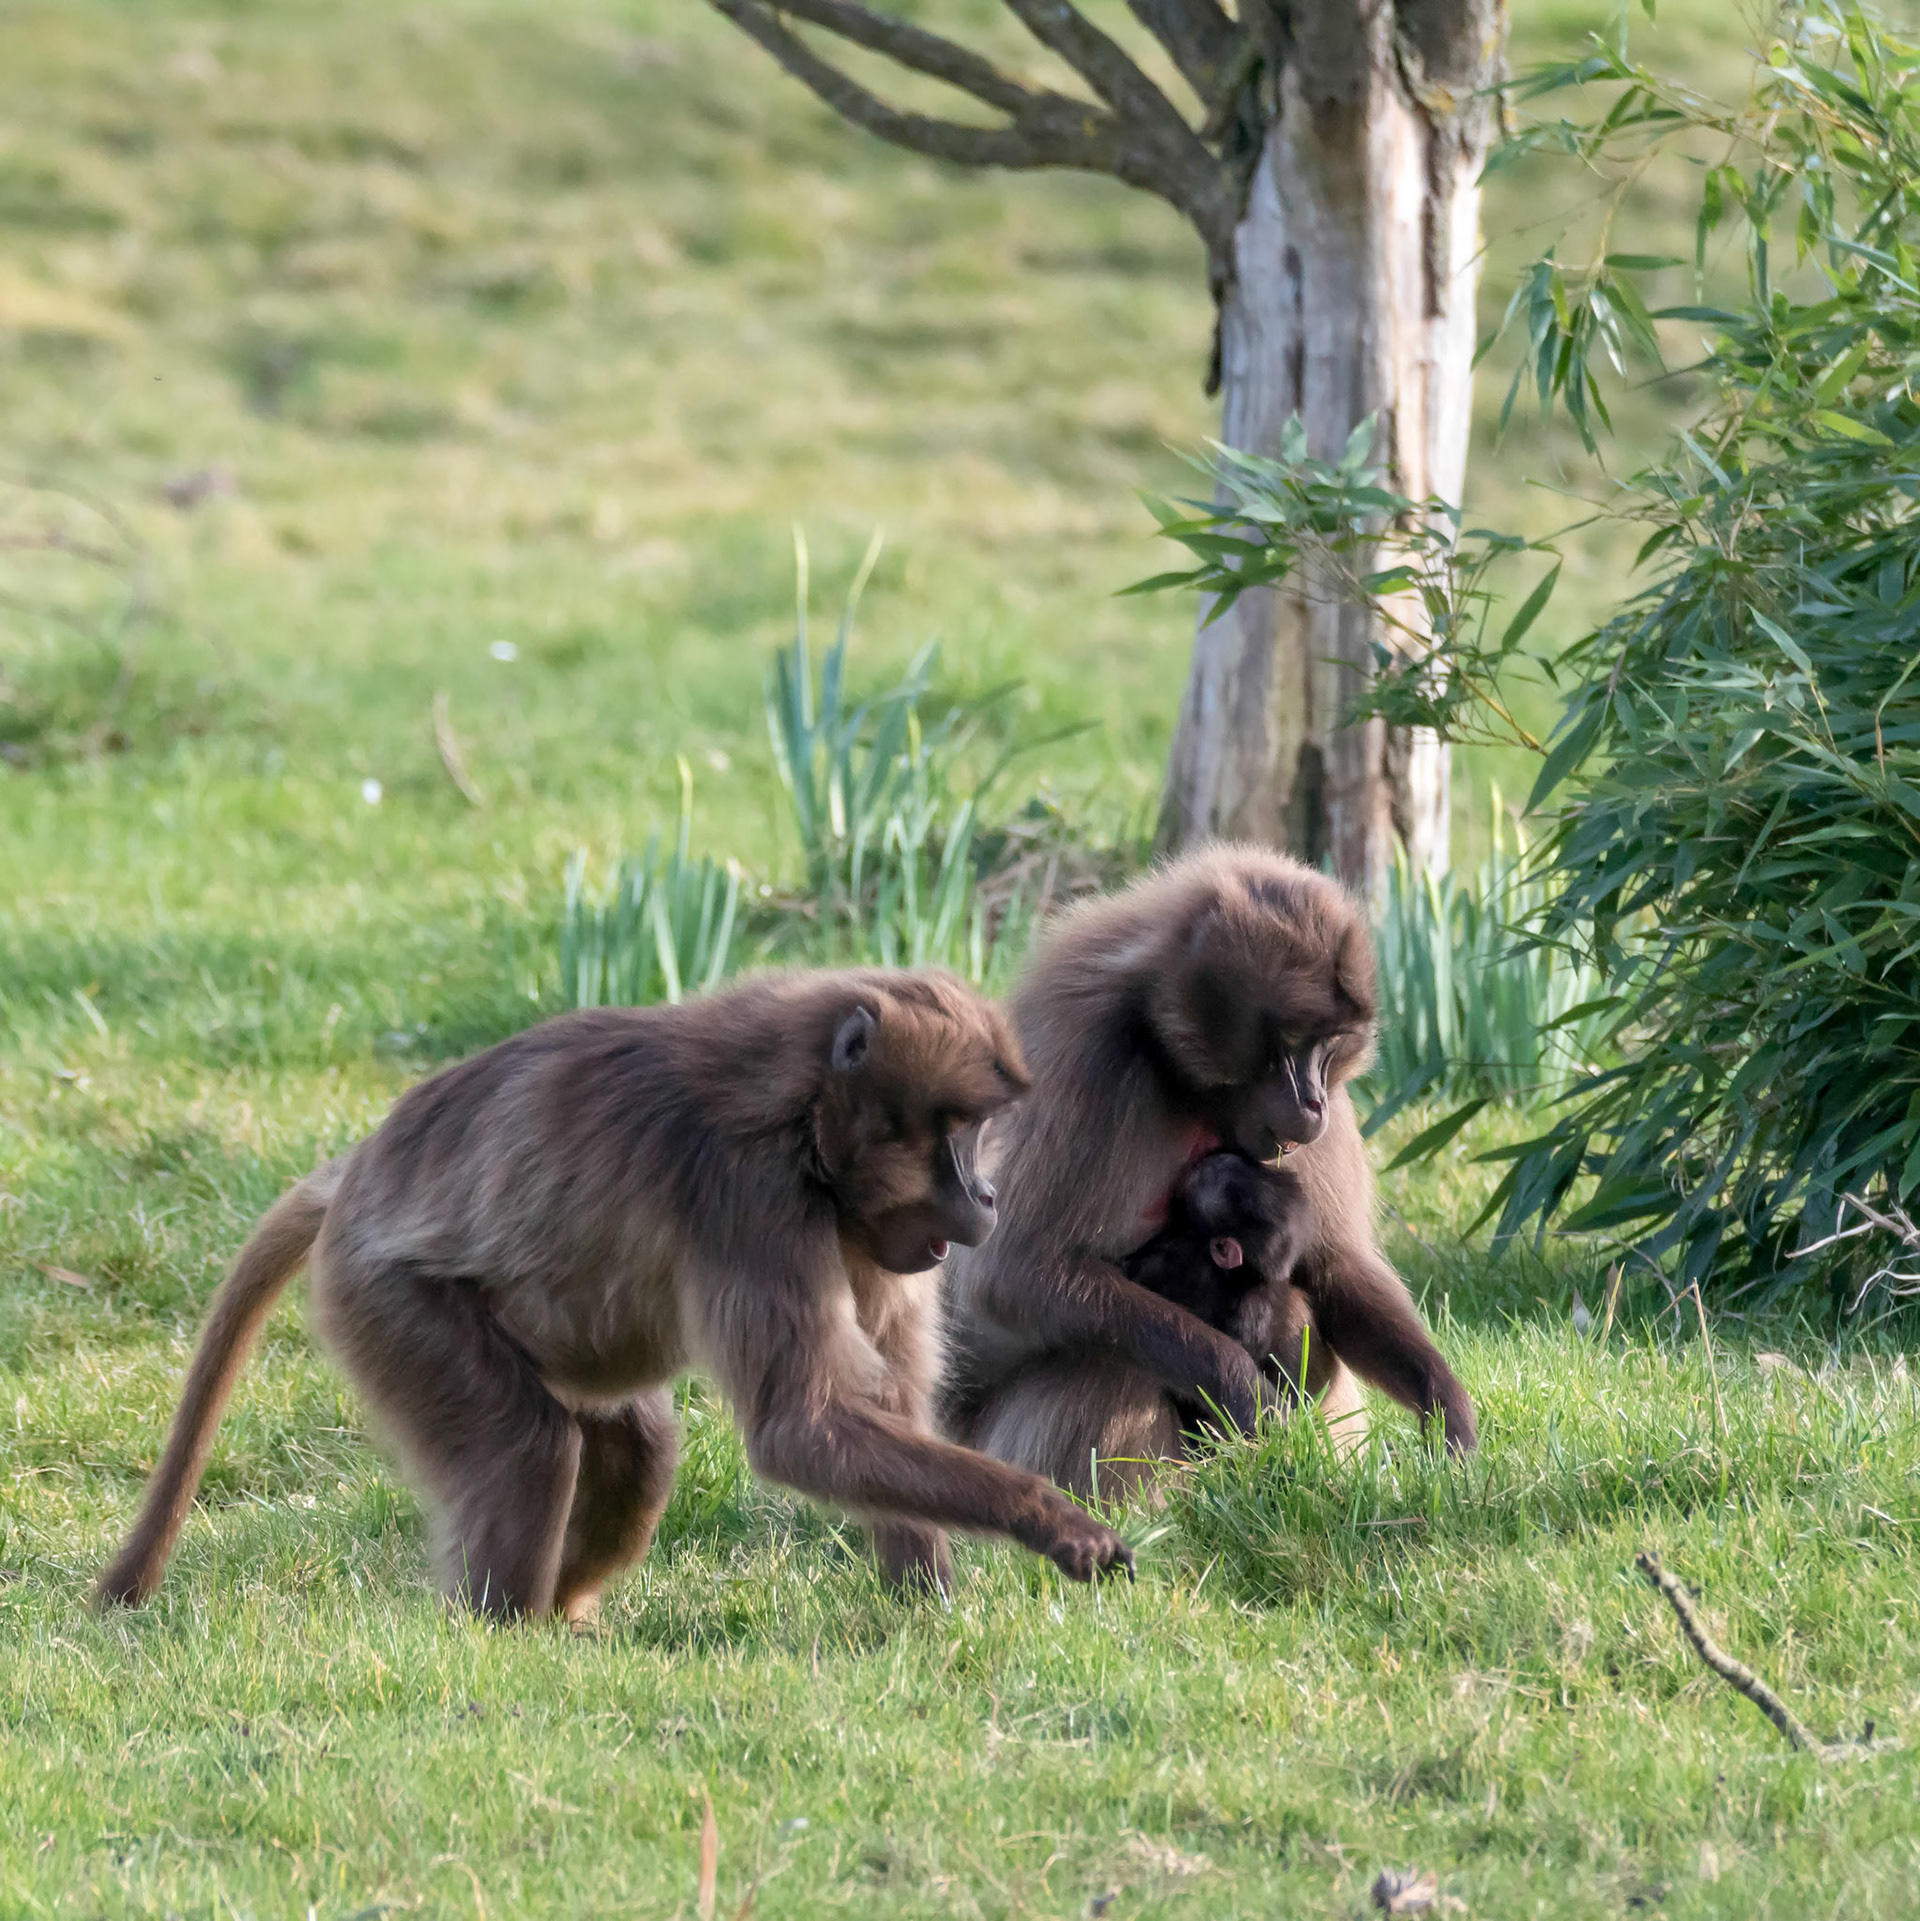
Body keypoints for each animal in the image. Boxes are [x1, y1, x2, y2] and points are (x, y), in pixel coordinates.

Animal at [96, 967, 1134, 1620]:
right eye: (955, 1131)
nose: (988, 1196)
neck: (801, 1111)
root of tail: (359, 1171)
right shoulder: (751, 1199)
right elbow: (803, 1428)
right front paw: (1051, 1520)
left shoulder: (873, 1234)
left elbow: (881, 1406)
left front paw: (931, 1607)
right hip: (387, 1298)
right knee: (526, 1445)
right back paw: (503, 1638)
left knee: (636, 1449)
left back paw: (567, 1617)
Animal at [941, 846, 1477, 1499]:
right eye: (1291, 1043)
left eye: (1329, 1045)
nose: (1315, 1103)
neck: (1171, 1056)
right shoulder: (1084, 1049)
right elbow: (1014, 1272)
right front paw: (1245, 1393)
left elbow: (1331, 1265)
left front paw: (1445, 1411)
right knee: (1104, 1357)